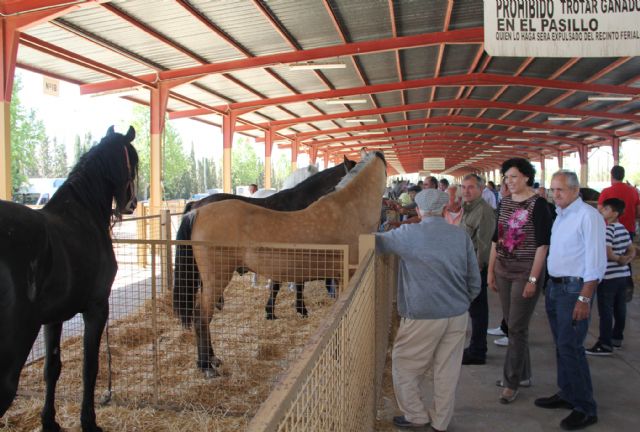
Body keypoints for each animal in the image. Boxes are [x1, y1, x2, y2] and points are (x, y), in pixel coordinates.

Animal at [0, 125, 139, 432]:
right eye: (134, 163)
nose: (132, 204)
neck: (83, 214)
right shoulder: (97, 308)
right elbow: (90, 367)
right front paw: (89, 422)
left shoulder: (53, 318)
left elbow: (52, 368)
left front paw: (49, 421)